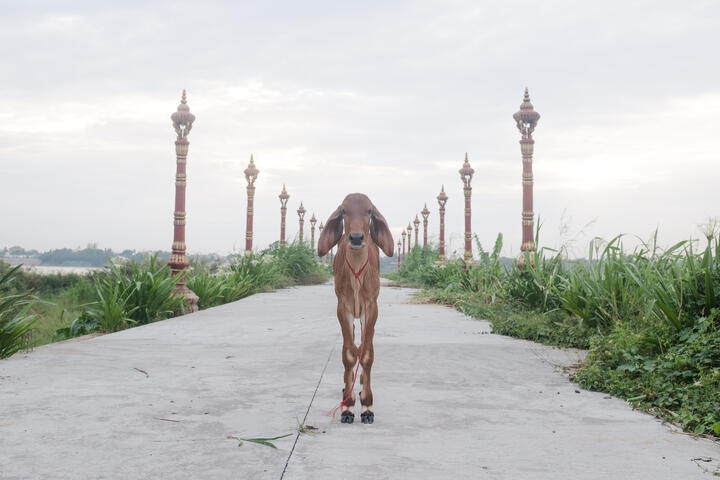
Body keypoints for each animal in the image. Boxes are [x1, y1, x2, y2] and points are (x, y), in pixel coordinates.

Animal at [316, 193, 394, 422]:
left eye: (369, 211)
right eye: (344, 211)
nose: (357, 238)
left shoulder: (371, 308)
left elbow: (366, 354)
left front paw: (367, 406)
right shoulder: (343, 308)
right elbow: (349, 354)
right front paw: (348, 407)